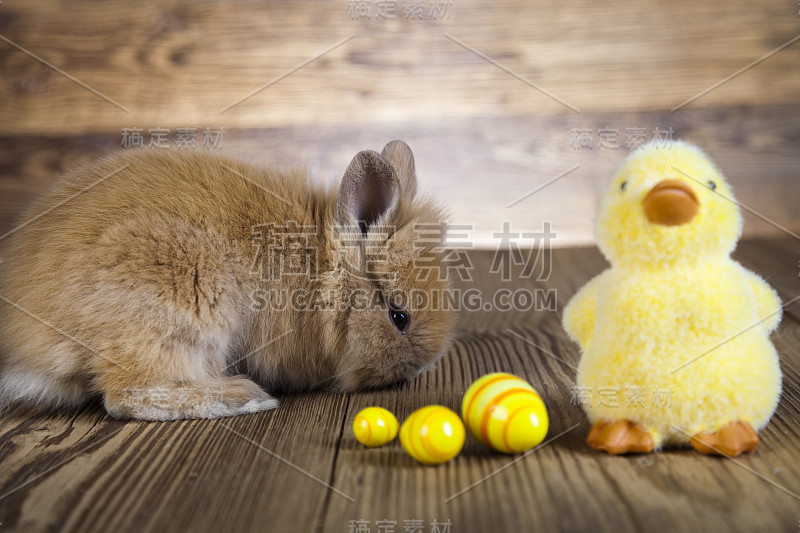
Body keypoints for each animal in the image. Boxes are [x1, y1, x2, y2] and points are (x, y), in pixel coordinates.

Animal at [0, 140, 454, 420]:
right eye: (399, 317)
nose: (411, 372)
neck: (320, 271)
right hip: (176, 308)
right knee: (125, 396)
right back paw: (244, 397)